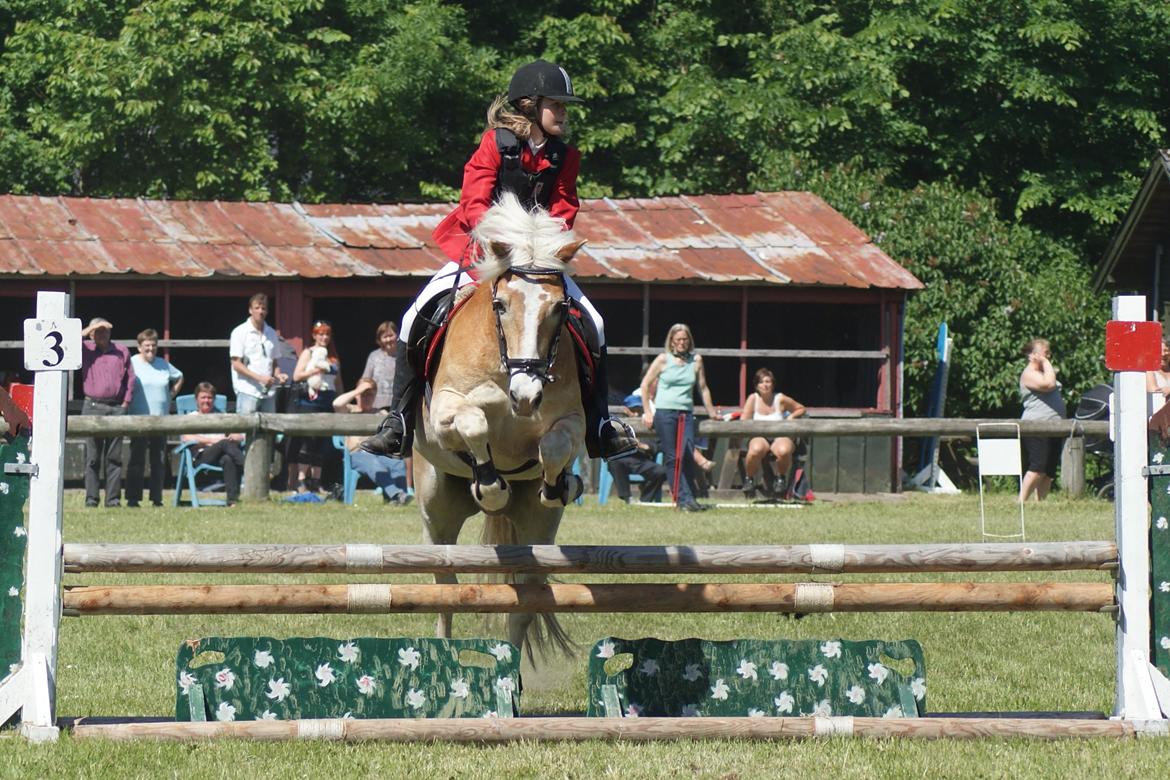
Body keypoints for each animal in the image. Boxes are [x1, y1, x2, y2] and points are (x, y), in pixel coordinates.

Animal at [414, 191, 594, 654]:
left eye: (560, 309)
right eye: (500, 305)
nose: (526, 396)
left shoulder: (573, 421)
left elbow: (552, 445)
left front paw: (557, 484)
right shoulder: (444, 411)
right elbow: (475, 423)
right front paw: (492, 487)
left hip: (538, 530)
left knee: (523, 603)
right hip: (436, 513)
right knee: (445, 593)